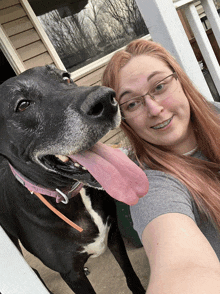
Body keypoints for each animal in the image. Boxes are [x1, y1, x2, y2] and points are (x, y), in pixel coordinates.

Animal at [0, 66, 144, 294]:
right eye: (22, 105)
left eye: (66, 78)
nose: (105, 100)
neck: (72, 196)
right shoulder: (71, 274)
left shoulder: (113, 235)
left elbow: (130, 275)